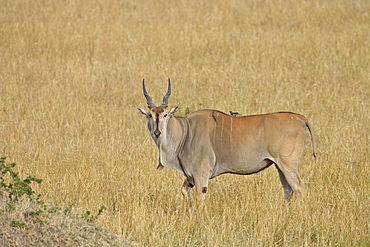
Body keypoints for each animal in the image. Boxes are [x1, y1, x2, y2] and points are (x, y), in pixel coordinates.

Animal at [136, 78, 316, 206]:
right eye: (150, 115)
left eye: (165, 115)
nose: (157, 132)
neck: (185, 131)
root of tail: (300, 119)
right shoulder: (190, 177)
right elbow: (184, 191)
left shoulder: (201, 174)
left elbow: (200, 197)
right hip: (279, 166)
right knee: (287, 189)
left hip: (287, 164)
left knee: (298, 187)